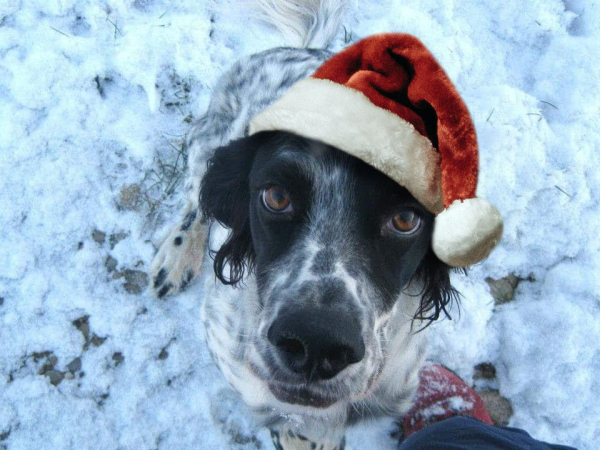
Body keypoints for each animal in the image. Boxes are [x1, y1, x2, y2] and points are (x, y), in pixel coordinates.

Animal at [151, 1, 460, 448]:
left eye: (405, 219)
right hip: (206, 142)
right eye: (275, 197)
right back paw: (175, 258)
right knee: (196, 202)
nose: (316, 345)